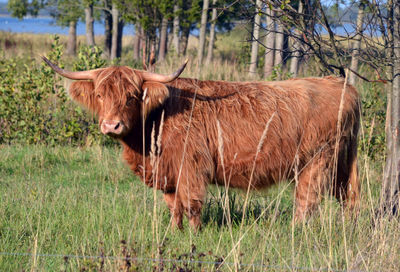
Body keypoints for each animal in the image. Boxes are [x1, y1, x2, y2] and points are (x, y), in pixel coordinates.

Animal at [43, 56, 360, 230]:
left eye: (132, 96)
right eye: (99, 95)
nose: (111, 125)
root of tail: (340, 83)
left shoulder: (192, 165)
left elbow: (192, 203)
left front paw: (194, 234)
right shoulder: (168, 171)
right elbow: (173, 206)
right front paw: (175, 232)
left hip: (317, 160)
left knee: (307, 200)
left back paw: (295, 231)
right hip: (342, 164)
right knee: (348, 196)